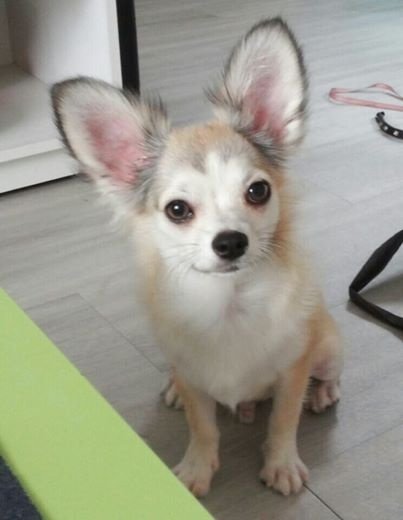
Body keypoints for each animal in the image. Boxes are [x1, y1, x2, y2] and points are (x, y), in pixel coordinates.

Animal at [51, 17, 343, 497]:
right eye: (177, 209)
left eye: (258, 191)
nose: (230, 242)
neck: (228, 303)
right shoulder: (193, 376)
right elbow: (202, 426)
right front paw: (196, 469)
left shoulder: (292, 371)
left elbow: (284, 421)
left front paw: (281, 463)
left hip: (328, 347)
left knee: (327, 372)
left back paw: (323, 393)